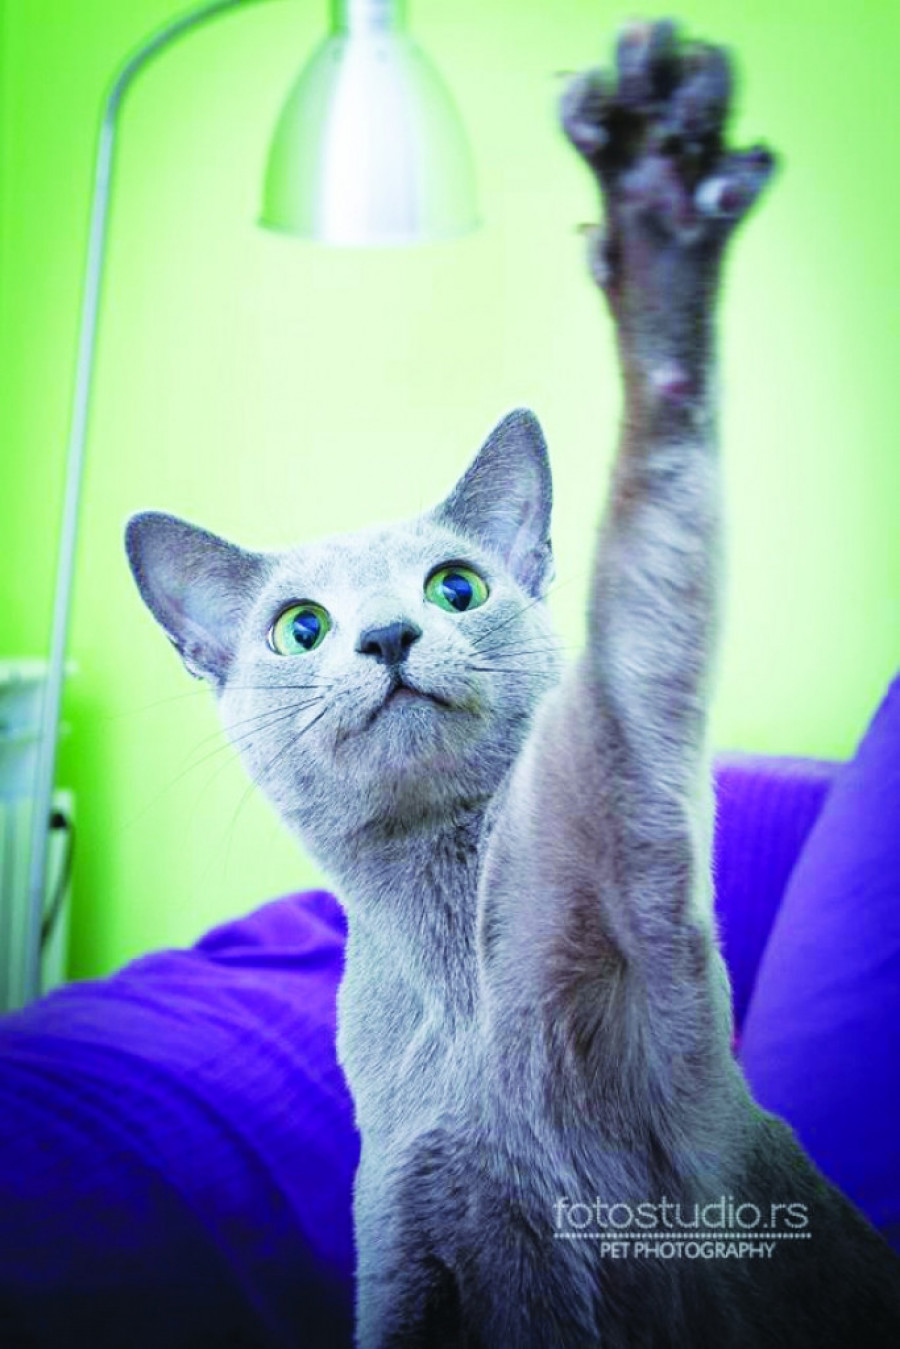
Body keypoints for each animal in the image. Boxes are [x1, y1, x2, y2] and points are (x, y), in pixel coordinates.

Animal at [126, 19, 900, 1348]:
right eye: (300, 627)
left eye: (455, 587)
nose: (387, 635)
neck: (455, 969)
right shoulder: (408, 1255)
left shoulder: (632, 883)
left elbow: (640, 598)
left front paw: (659, 213)